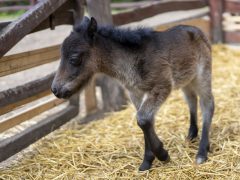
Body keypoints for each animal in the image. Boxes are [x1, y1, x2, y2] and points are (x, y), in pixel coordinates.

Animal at [51, 16, 215, 170]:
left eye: (74, 58)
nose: (55, 90)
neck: (130, 62)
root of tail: (196, 29)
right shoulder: (135, 93)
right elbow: (146, 121)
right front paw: (147, 161)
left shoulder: (161, 87)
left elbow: (142, 119)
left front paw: (163, 155)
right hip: (186, 79)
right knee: (192, 100)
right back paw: (191, 135)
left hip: (202, 74)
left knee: (207, 105)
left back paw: (201, 153)